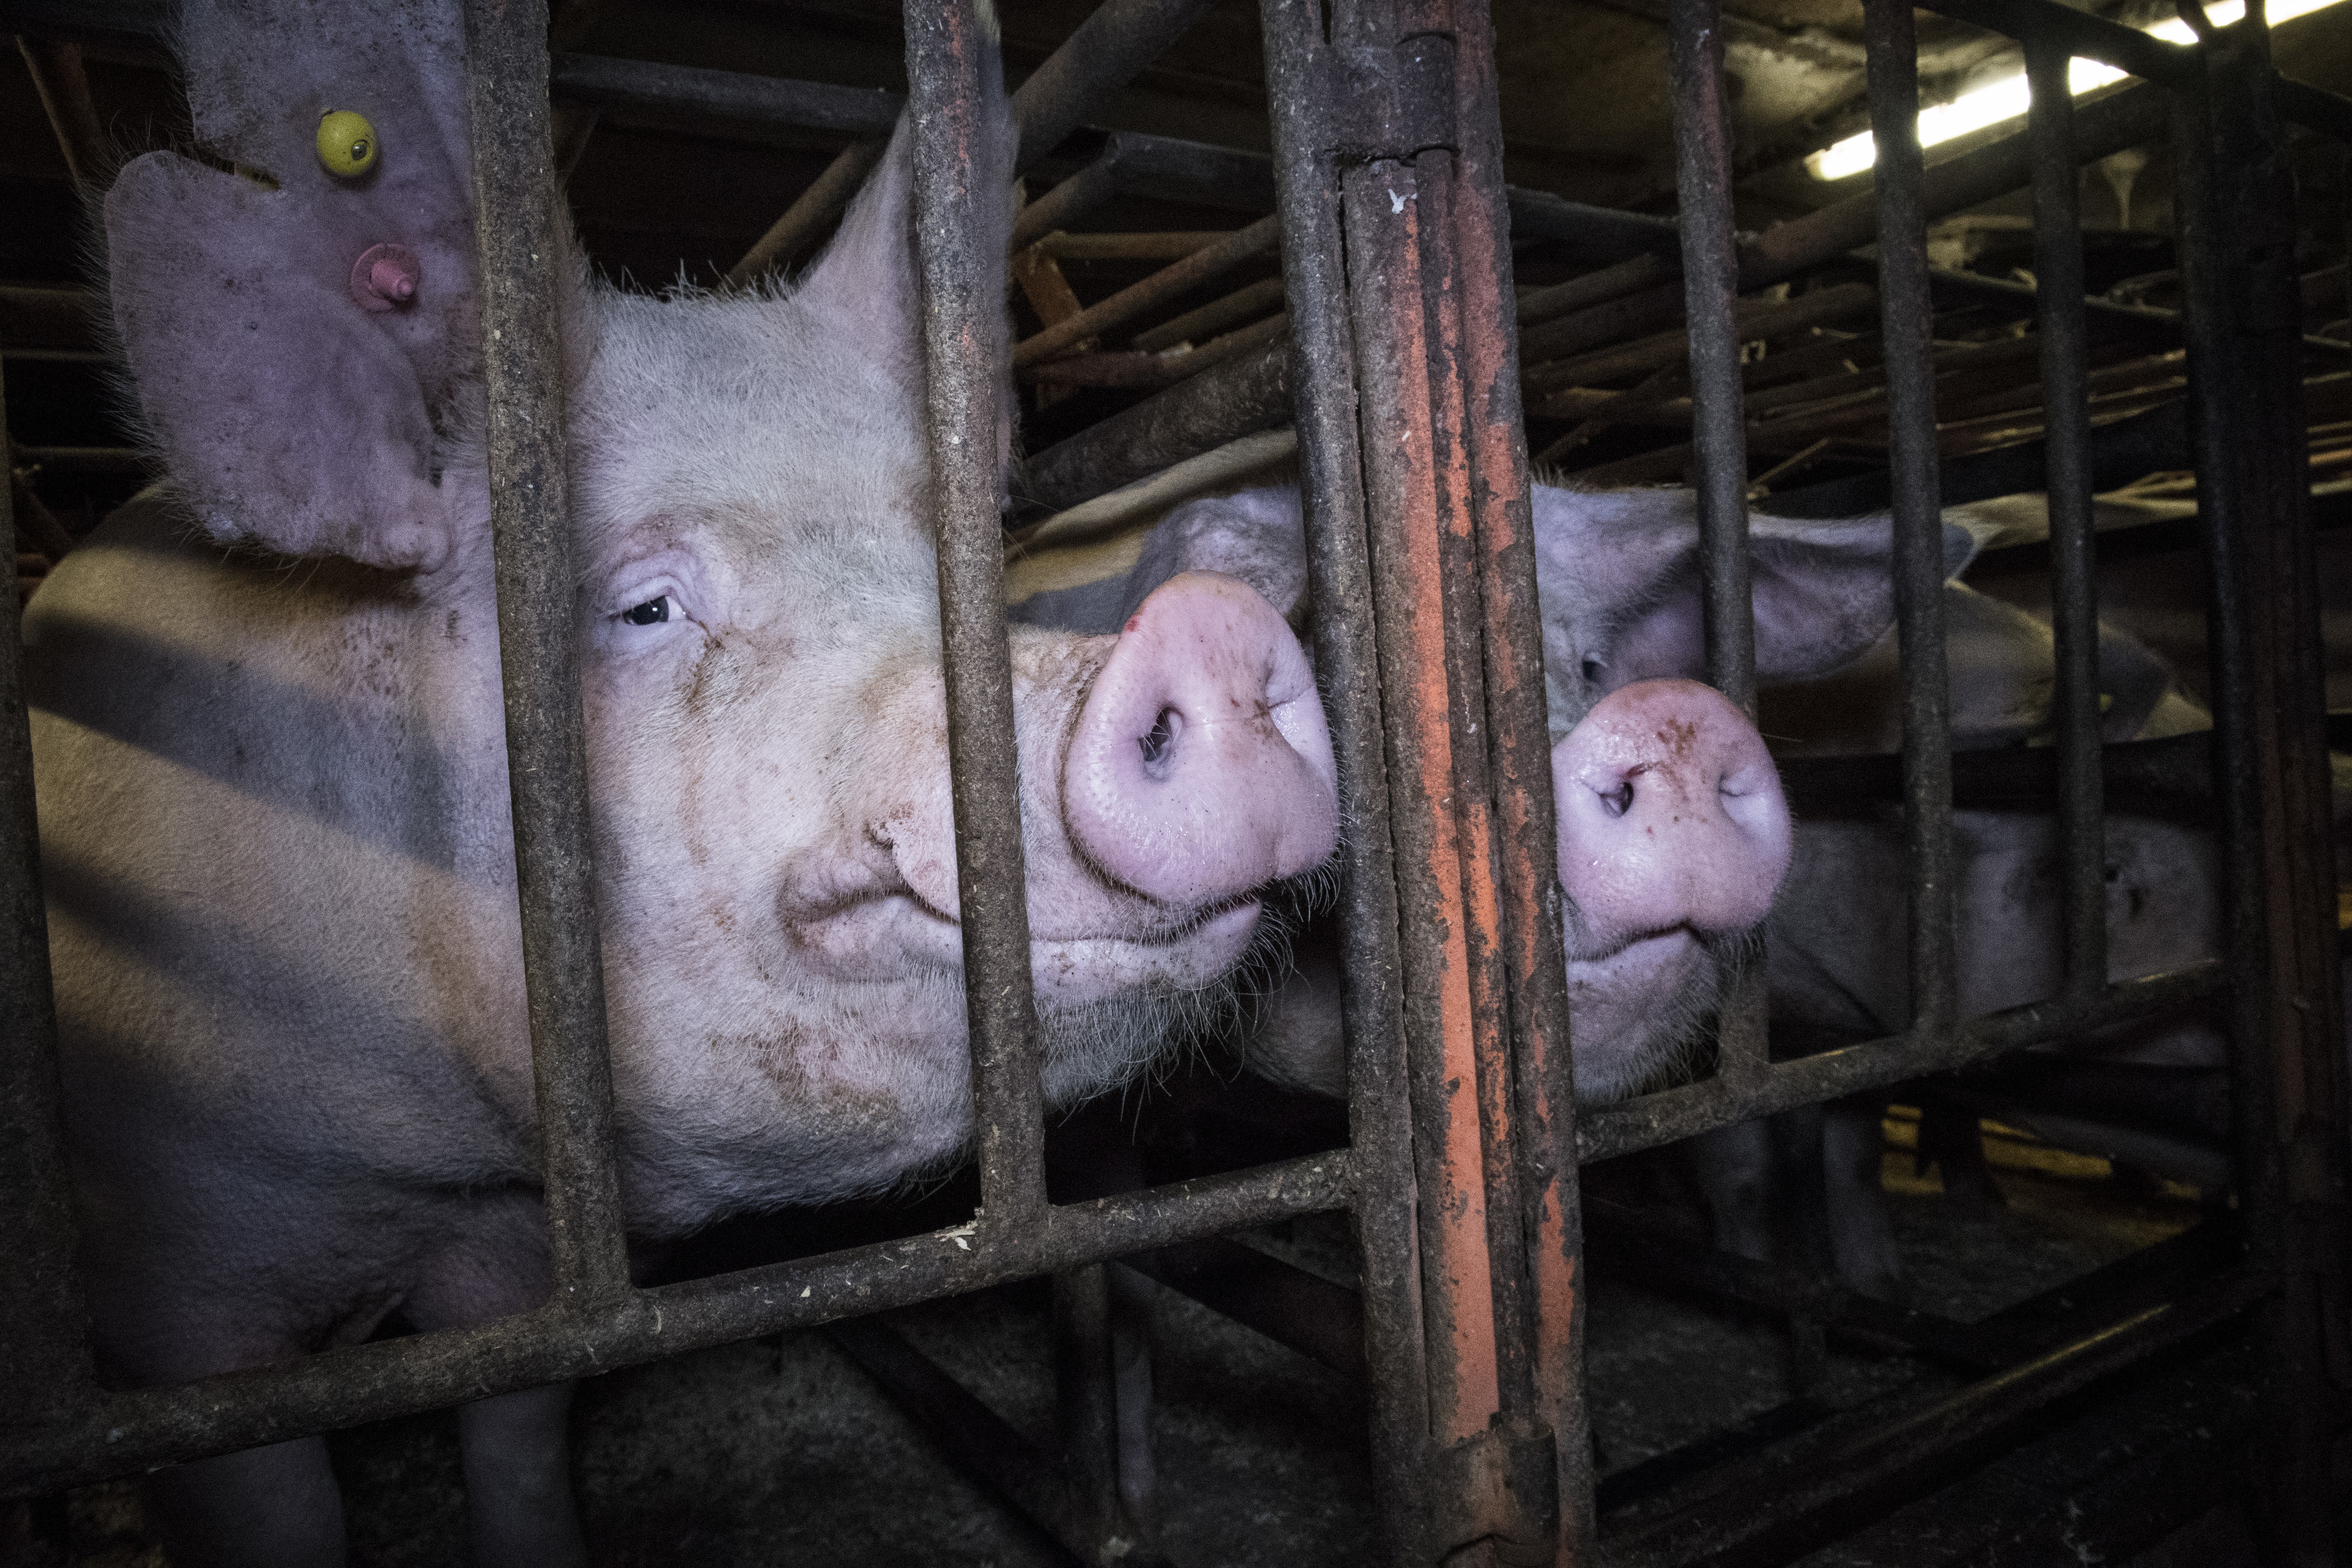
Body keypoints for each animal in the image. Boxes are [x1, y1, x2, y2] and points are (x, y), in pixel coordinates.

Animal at [18, 6, 1336, 1561]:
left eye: (958, 565)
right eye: (642, 607)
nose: (1211, 622)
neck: (426, 1156)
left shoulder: (522, 1251)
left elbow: (521, 1436)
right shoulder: (175, 1286)